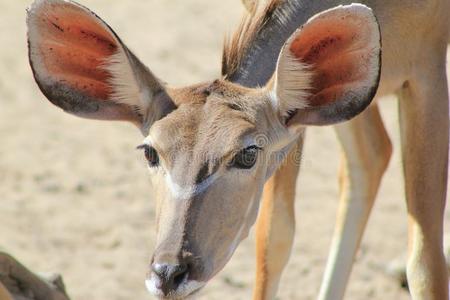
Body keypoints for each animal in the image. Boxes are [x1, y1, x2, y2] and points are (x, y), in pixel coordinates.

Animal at [22, 0, 450, 298]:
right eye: (150, 152)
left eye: (247, 154)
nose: (169, 273)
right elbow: (273, 240)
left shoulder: (427, 70)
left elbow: (424, 266)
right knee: (371, 155)